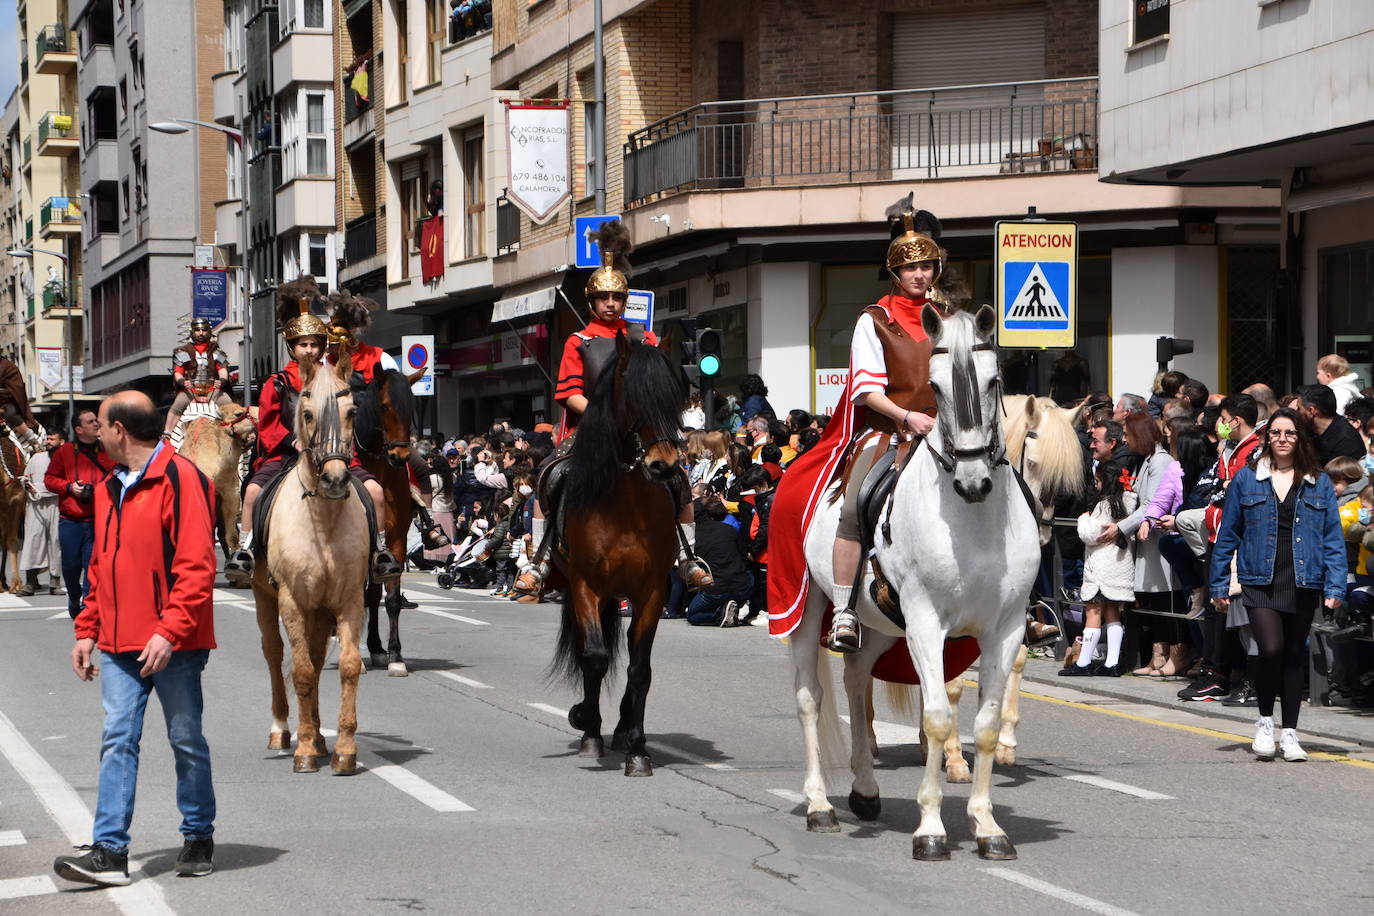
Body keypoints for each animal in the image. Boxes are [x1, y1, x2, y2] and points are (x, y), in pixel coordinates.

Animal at [252, 354, 370, 780]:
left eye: (352, 412)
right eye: (307, 414)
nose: (336, 479)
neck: (324, 517)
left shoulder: (350, 600)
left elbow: (347, 666)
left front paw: (344, 750)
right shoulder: (293, 601)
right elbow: (300, 671)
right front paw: (303, 750)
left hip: (321, 612)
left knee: (319, 660)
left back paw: (320, 738)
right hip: (265, 598)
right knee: (274, 654)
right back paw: (283, 730)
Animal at [541, 333, 681, 780]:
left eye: (674, 398)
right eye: (634, 398)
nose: (663, 466)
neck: (625, 505)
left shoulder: (651, 592)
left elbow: (639, 670)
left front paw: (637, 747)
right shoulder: (586, 586)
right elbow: (595, 657)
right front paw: (585, 721)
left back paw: (619, 729)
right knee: (593, 655)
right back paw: (592, 728)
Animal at [785, 304, 1071, 862]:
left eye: (994, 380)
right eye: (936, 388)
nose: (973, 482)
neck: (973, 522)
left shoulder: (1004, 629)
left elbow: (984, 724)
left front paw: (987, 826)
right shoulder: (926, 623)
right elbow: (939, 715)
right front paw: (932, 828)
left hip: (878, 625)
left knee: (856, 679)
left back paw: (866, 791)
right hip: (808, 609)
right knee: (811, 699)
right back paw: (819, 805)